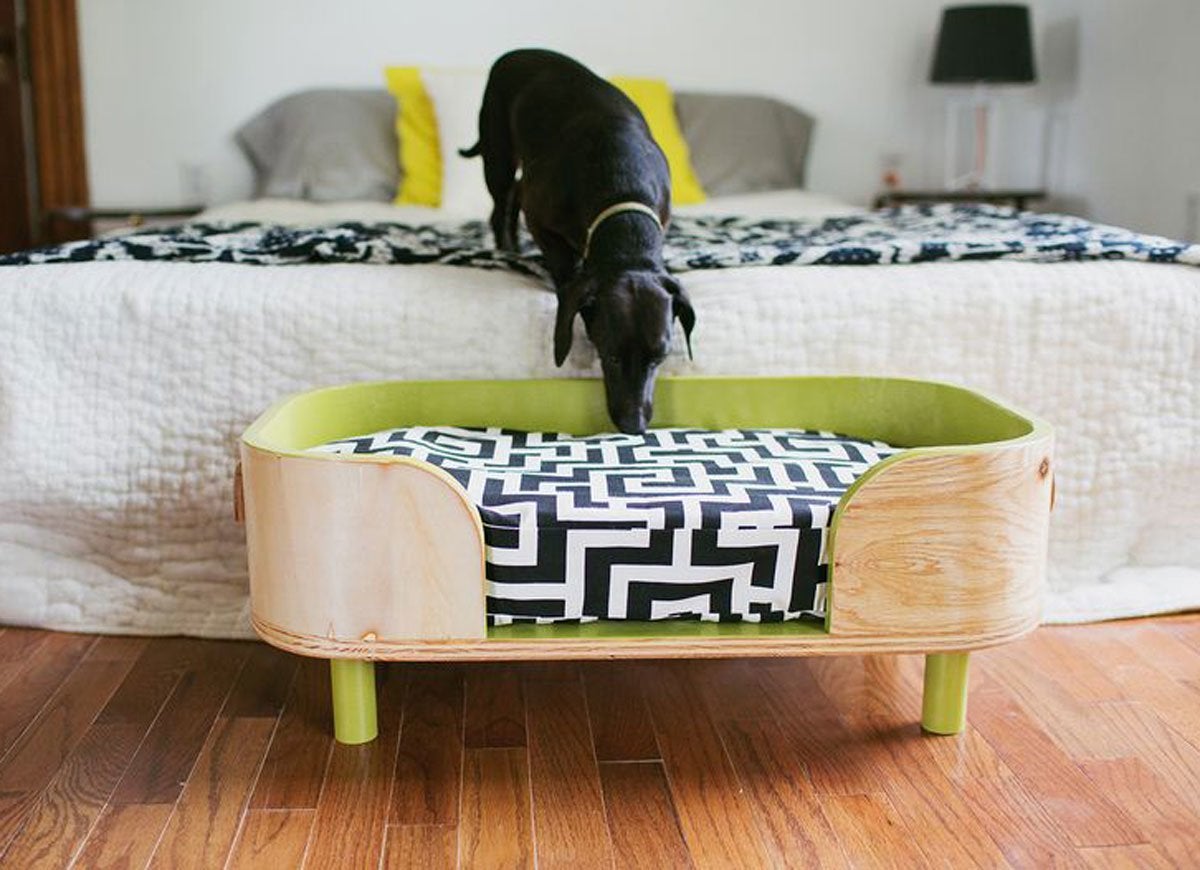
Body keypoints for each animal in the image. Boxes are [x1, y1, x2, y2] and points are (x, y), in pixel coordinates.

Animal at [458, 45, 696, 432]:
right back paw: (508, 248)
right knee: (502, 205)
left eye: (660, 356)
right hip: (499, 156)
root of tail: (518, 52)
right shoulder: (541, 219)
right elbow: (563, 267)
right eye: (610, 355)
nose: (634, 425)